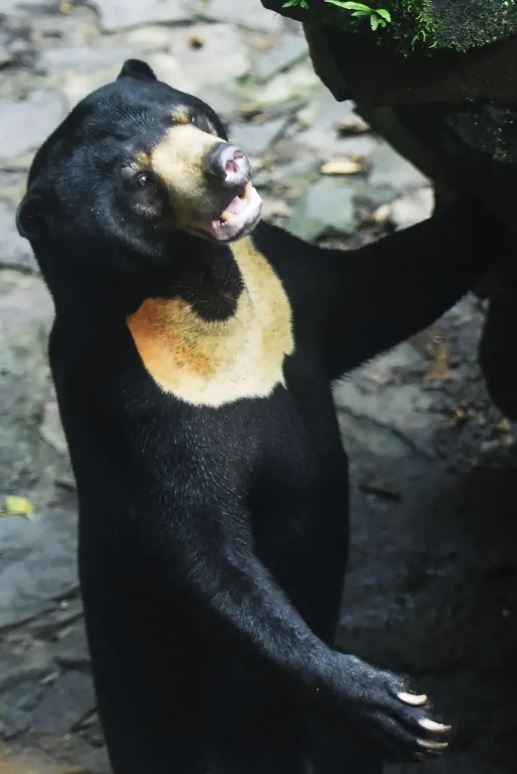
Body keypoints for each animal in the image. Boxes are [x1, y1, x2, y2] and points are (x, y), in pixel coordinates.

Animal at [18, 60, 496, 774]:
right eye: (139, 181)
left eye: (187, 119)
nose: (227, 163)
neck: (205, 293)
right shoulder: (129, 407)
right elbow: (205, 557)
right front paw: (394, 707)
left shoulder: (290, 288)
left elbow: (394, 282)